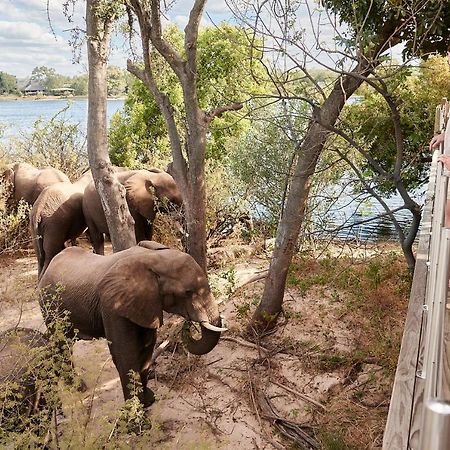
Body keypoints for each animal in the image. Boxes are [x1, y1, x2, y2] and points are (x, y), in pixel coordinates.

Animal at [38, 241, 227, 406]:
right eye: (188, 292)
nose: (187, 325)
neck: (153, 260)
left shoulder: (146, 304)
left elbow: (146, 350)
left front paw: (148, 401)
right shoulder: (113, 306)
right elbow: (126, 355)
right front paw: (137, 419)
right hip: (49, 305)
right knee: (63, 342)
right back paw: (78, 387)